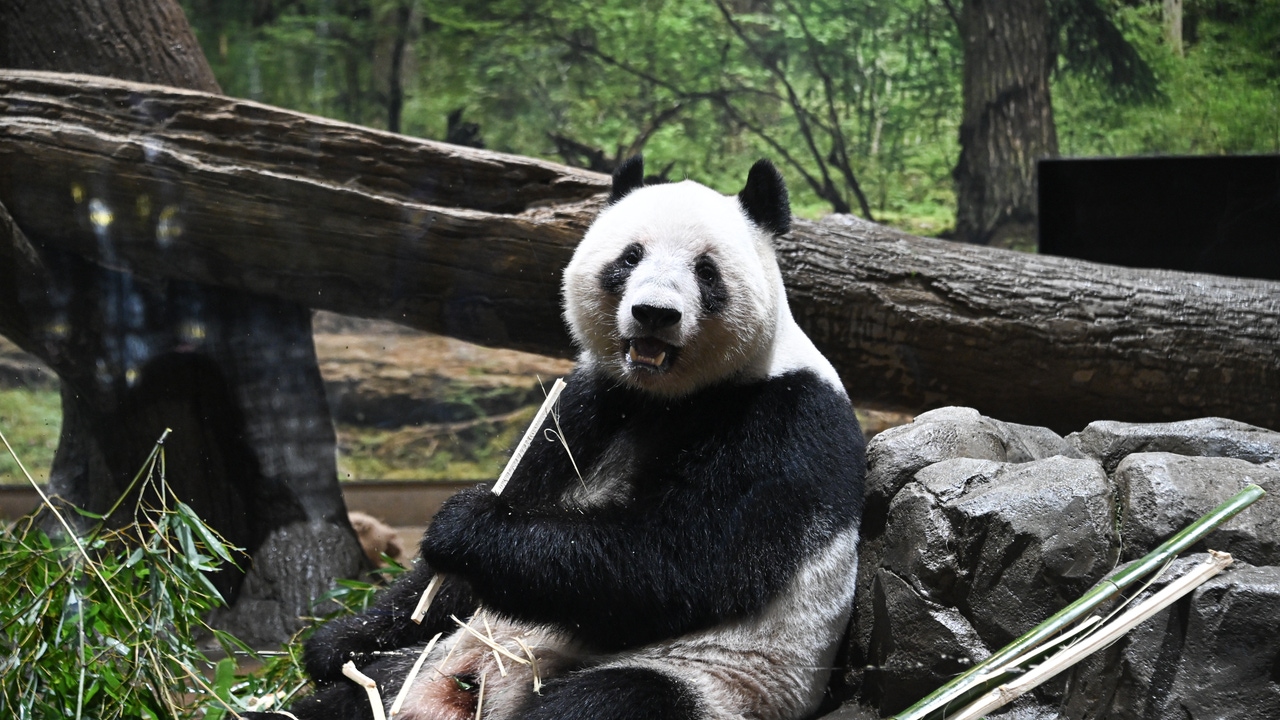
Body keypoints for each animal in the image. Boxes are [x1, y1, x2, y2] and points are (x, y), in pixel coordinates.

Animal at [255, 157, 865, 720]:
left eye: (706, 271)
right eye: (629, 257)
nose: (654, 314)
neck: (667, 397)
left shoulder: (782, 421)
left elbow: (680, 558)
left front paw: (466, 526)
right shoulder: (589, 402)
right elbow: (457, 575)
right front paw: (336, 642)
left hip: (712, 683)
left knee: (612, 701)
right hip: (424, 665)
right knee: (354, 698)